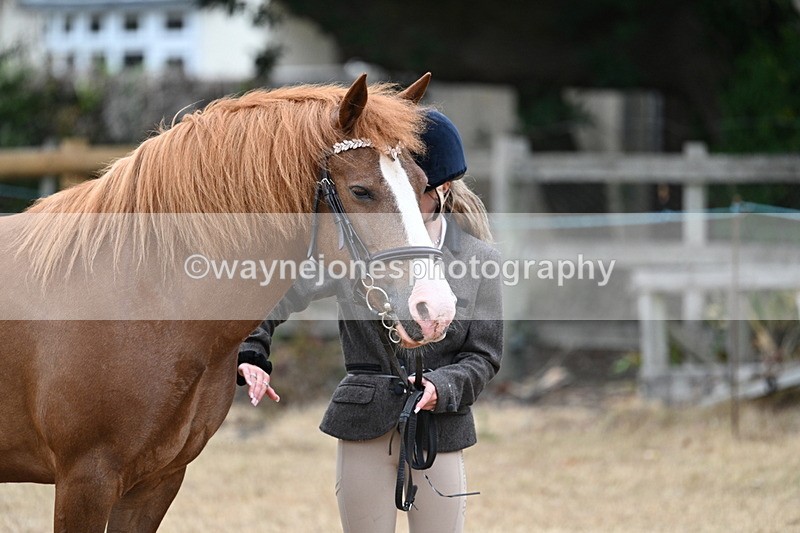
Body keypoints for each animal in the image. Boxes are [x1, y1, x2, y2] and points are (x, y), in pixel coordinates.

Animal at [0, 73, 456, 532]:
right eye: (361, 191)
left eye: (423, 186)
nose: (435, 309)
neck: (140, 291)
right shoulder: (86, 480)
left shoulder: (155, 482)